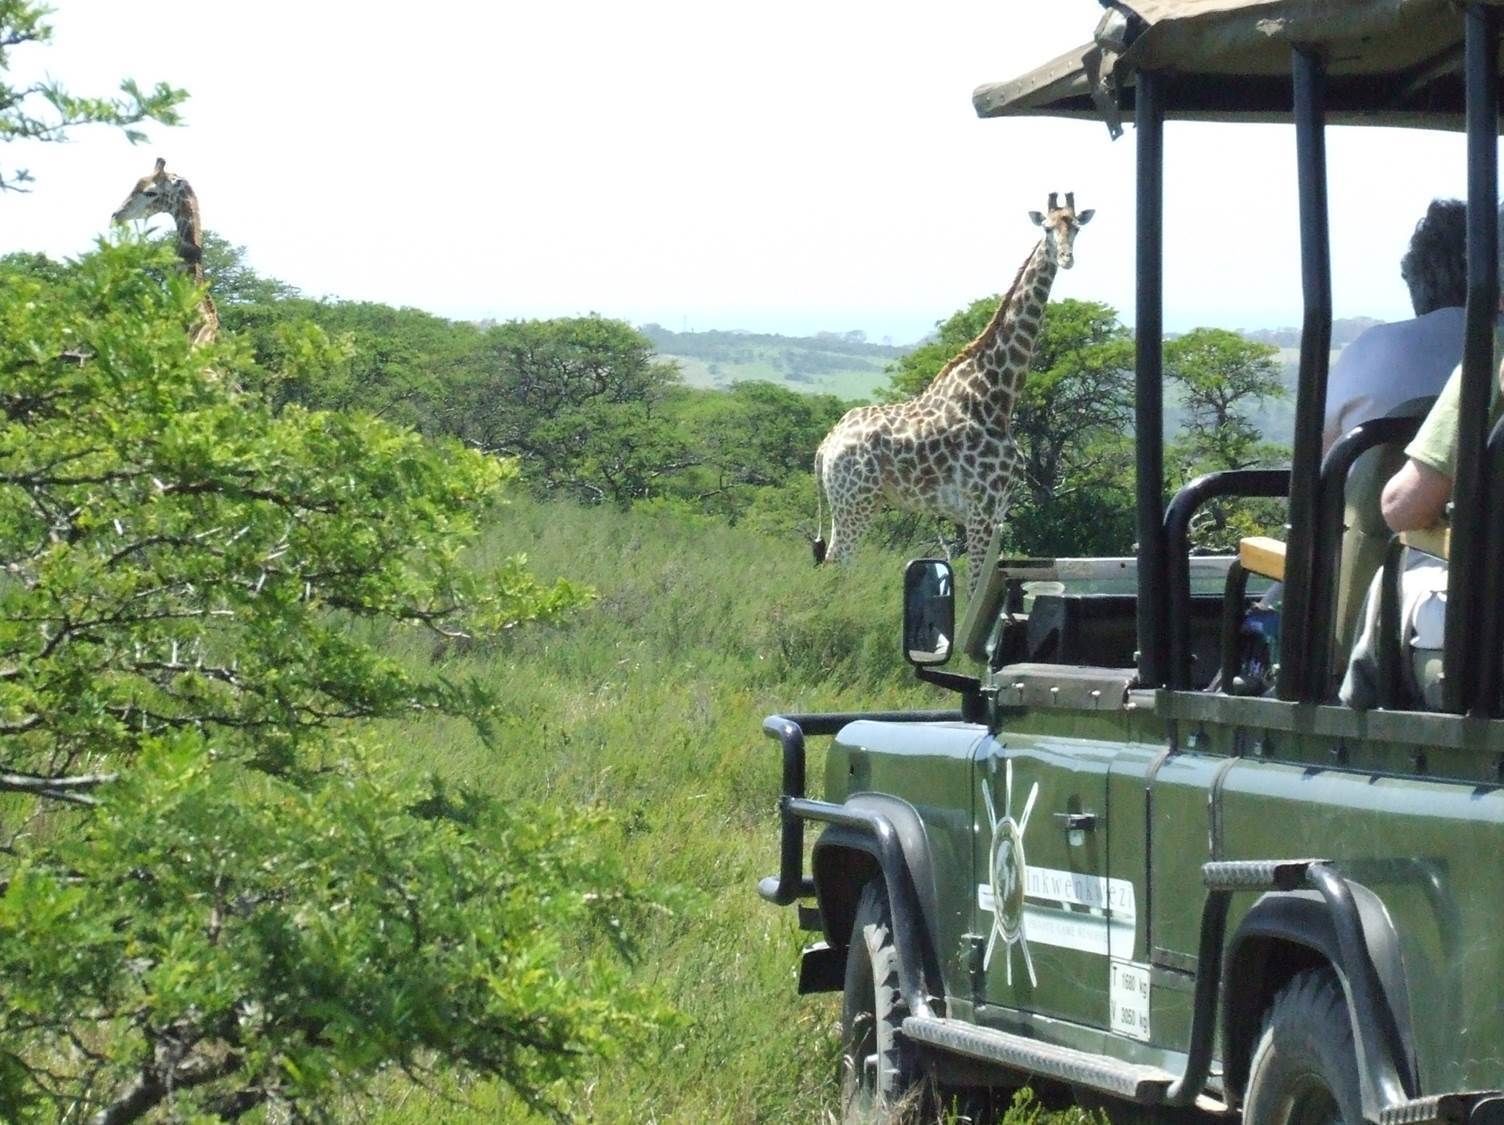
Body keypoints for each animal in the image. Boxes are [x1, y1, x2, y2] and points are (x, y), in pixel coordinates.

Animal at [812, 192, 1093, 595]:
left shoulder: (998, 512)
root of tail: (826, 446)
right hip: (855, 502)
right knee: (839, 564)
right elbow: (974, 586)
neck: (996, 398)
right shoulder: (980, 509)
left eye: (1077, 227)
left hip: (852, 503)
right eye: (1046, 227)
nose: (1067, 258)